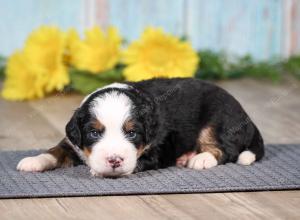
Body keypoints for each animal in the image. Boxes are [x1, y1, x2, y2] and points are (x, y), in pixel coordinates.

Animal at [17, 78, 264, 178]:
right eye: (94, 133)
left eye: (132, 133)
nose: (114, 160)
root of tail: (247, 117)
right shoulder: (72, 142)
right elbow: (55, 151)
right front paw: (33, 161)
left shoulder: (157, 150)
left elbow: (139, 161)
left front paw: (100, 170)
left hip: (217, 119)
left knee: (226, 149)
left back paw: (201, 159)